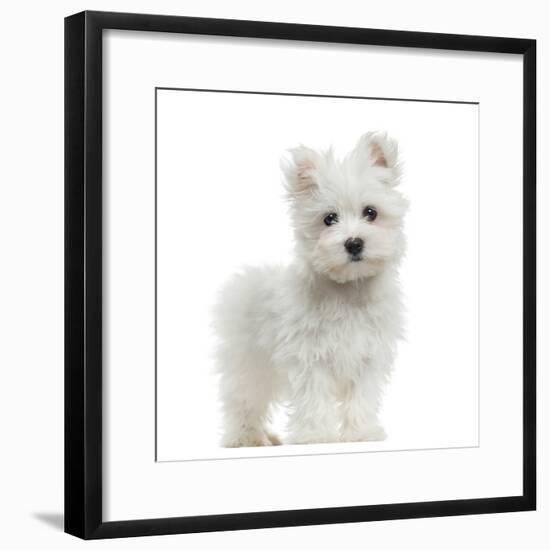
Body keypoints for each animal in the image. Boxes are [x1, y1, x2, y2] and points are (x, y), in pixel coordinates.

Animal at [213, 134, 408, 448]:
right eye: (329, 219)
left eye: (371, 213)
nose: (354, 243)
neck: (347, 290)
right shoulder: (310, 357)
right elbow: (314, 397)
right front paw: (315, 436)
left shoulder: (367, 356)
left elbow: (361, 398)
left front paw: (361, 433)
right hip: (249, 364)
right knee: (243, 401)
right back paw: (246, 438)